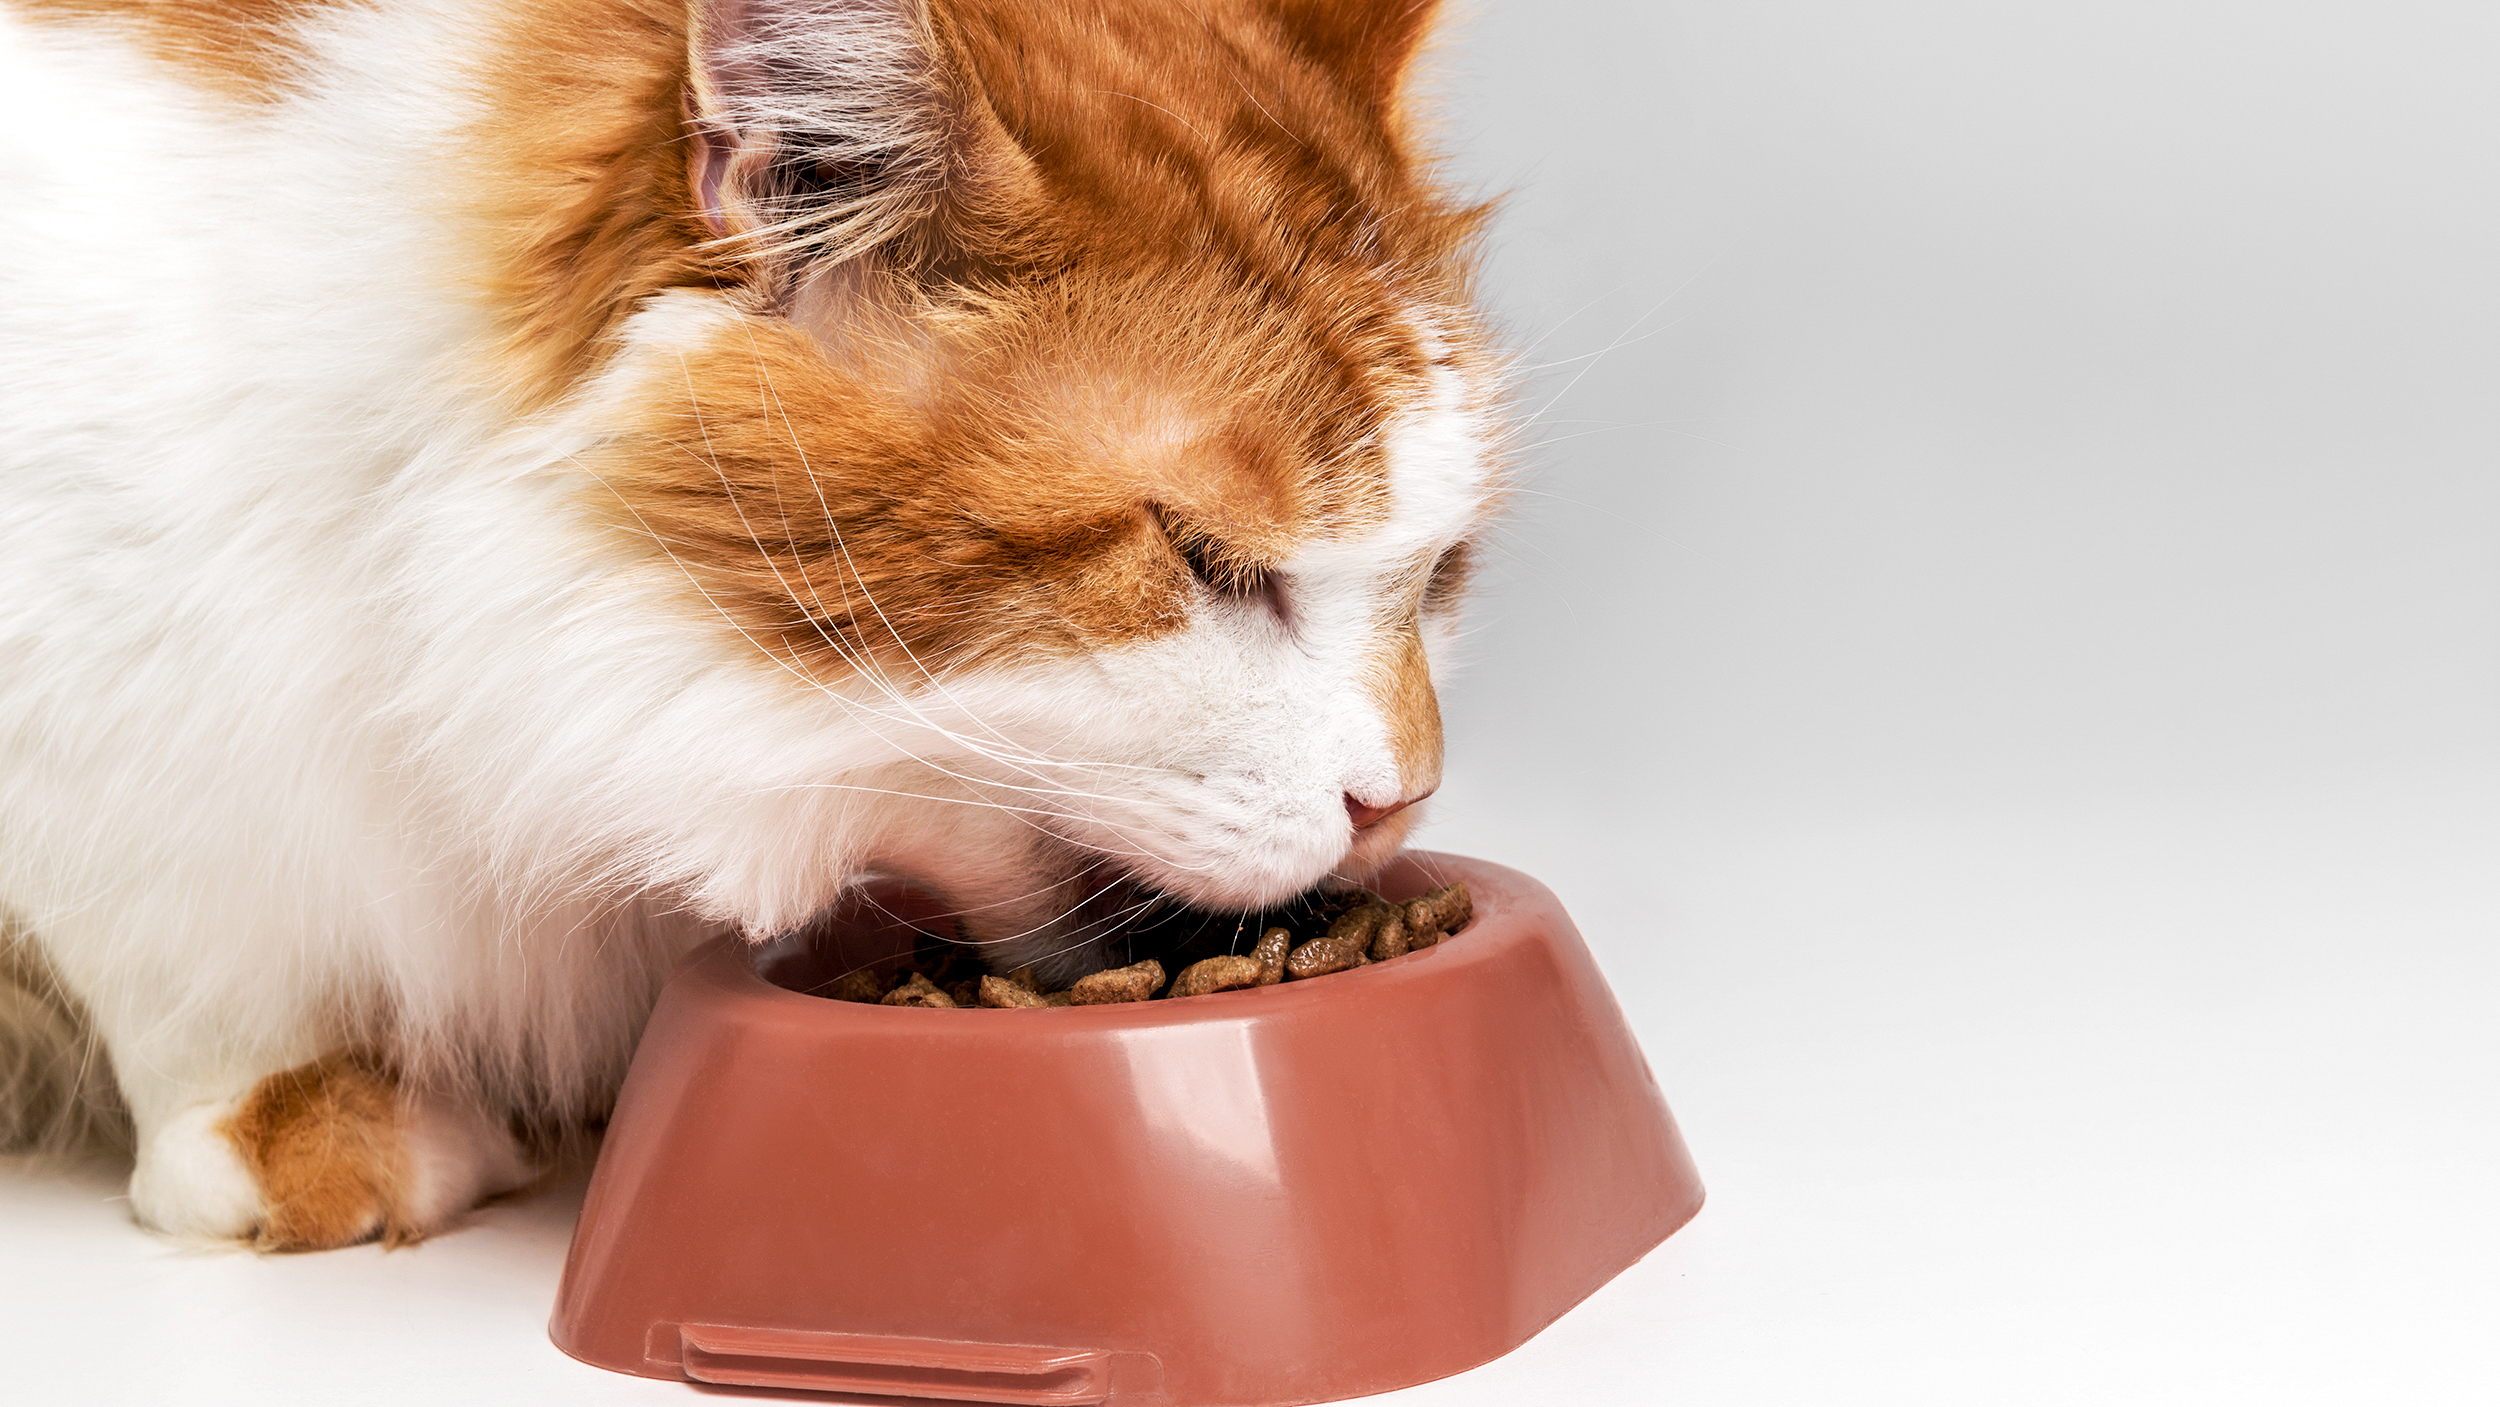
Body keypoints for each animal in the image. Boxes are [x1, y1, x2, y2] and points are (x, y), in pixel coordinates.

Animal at [0, 0, 1500, 1254]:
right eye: (1204, 563)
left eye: (1441, 569)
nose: (1401, 798)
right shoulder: (91, 656)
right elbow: (190, 928)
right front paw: (310, 1123)